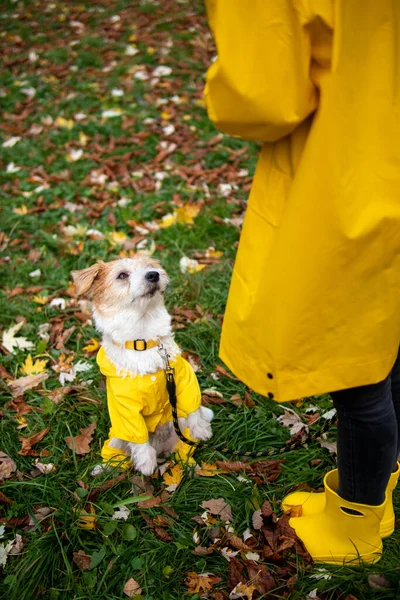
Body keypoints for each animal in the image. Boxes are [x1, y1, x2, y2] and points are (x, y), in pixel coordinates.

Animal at [71, 255, 212, 476]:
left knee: (183, 449)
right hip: (115, 438)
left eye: (150, 266)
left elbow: (194, 407)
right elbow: (138, 437)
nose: (153, 275)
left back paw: (188, 466)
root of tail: (163, 449)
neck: (143, 340)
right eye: (122, 275)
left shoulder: (185, 379)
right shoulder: (125, 408)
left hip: (180, 428)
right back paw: (105, 468)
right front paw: (145, 462)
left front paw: (202, 429)